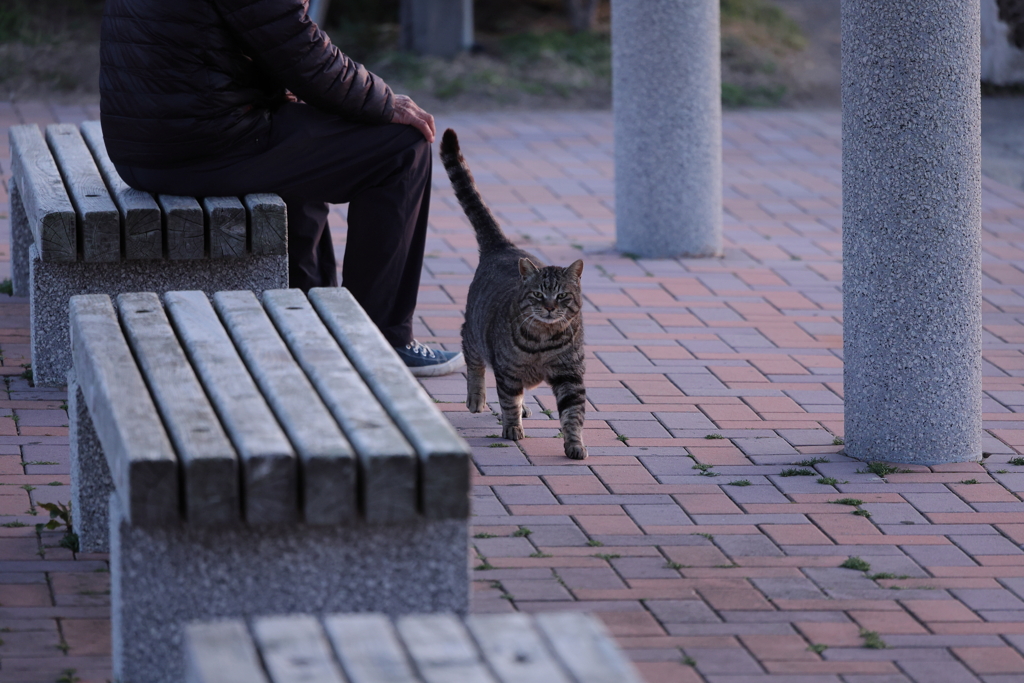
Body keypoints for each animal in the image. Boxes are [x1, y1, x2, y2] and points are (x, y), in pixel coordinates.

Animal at [436, 127, 589, 458]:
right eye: (538, 295)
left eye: (562, 296)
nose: (549, 307)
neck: (544, 341)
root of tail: (502, 246)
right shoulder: (507, 370)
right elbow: (507, 400)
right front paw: (512, 429)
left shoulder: (570, 375)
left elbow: (573, 413)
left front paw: (574, 444)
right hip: (475, 332)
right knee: (475, 362)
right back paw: (477, 398)